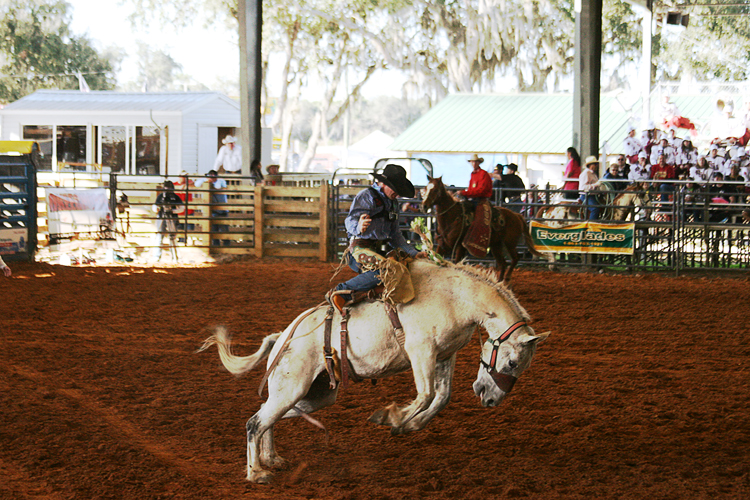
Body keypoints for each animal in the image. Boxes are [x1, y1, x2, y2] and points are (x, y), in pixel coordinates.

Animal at [198, 260, 552, 482]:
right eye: (512, 363)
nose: (491, 399)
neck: (456, 297)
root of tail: (282, 336)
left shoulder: (443, 356)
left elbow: (441, 397)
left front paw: (410, 426)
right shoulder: (420, 350)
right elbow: (425, 395)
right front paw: (391, 418)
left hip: (315, 394)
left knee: (267, 417)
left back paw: (270, 459)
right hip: (293, 385)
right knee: (255, 422)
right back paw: (256, 473)